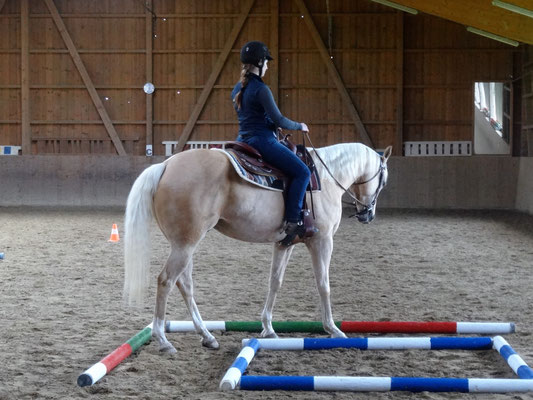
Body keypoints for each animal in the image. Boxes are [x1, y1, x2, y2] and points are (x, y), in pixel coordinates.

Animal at [123, 141, 390, 354]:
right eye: (383, 179)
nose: (368, 214)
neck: (325, 178)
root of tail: (166, 165)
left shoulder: (285, 244)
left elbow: (275, 283)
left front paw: (268, 328)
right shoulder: (322, 241)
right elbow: (323, 285)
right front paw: (333, 329)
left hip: (185, 244)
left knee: (185, 284)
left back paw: (207, 336)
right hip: (185, 244)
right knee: (166, 281)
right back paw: (163, 340)